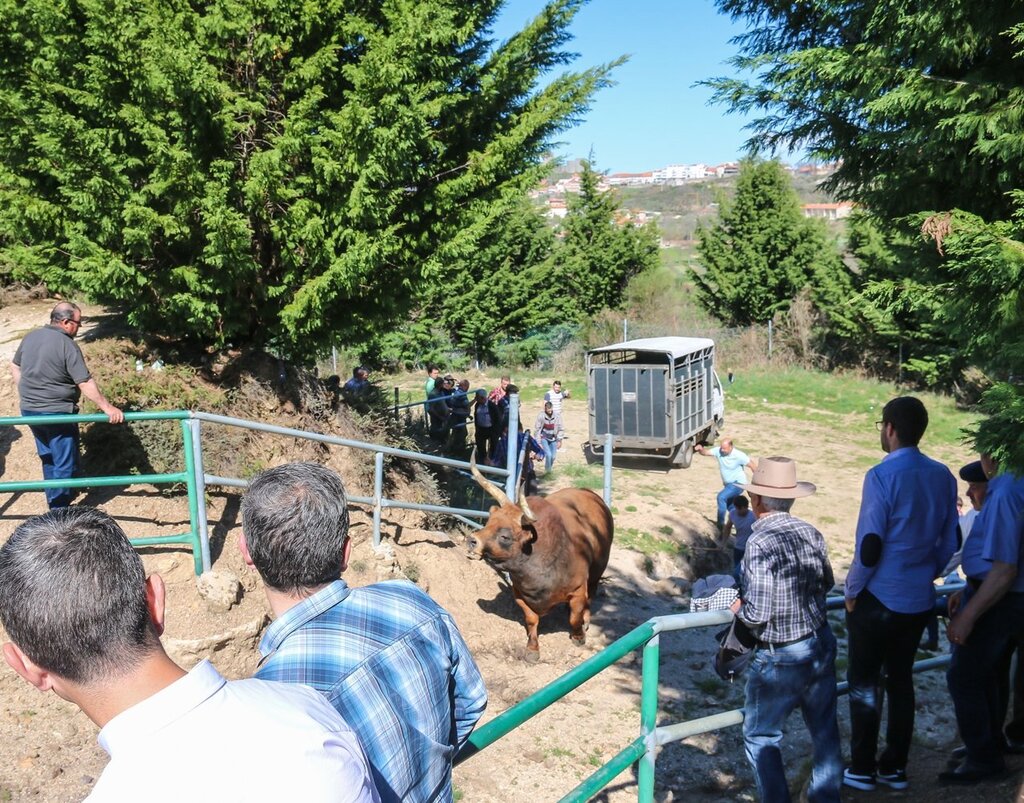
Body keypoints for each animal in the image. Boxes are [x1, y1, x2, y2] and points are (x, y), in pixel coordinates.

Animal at [466, 448, 614, 663]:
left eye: (505, 535)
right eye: (488, 522)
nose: (472, 540)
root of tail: (592, 495)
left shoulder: (578, 589)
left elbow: (575, 616)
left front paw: (578, 636)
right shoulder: (519, 594)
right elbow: (531, 620)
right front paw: (532, 649)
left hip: (598, 569)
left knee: (591, 595)